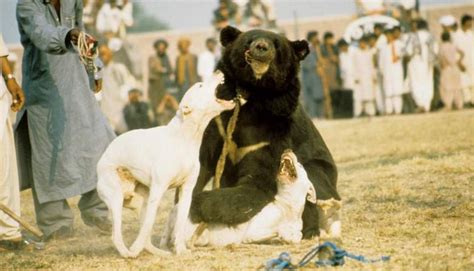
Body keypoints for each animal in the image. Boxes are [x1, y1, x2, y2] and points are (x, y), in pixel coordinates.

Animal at [96, 72, 235, 260]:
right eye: (199, 85)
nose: (219, 72)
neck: (185, 138)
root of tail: (102, 159)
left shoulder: (186, 191)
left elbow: (180, 223)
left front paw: (180, 250)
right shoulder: (158, 190)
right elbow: (148, 225)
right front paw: (136, 248)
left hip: (142, 201)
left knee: (145, 235)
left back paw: (159, 252)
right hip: (116, 198)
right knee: (118, 234)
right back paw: (128, 253)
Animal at [161, 150, 316, 248]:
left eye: (301, 165)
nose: (287, 149)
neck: (287, 207)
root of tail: (174, 210)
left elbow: (297, 235)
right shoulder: (252, 232)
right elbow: (281, 230)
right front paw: (285, 234)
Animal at [189, 25, 340, 238]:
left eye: (276, 45)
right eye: (250, 40)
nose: (261, 47)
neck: (253, 93)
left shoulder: (270, 131)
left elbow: (258, 180)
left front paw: (201, 204)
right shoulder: (217, 123)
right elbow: (202, 164)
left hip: (320, 171)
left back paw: (310, 231)